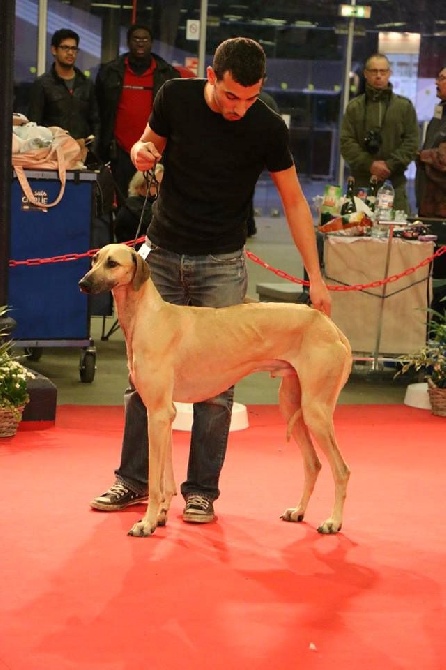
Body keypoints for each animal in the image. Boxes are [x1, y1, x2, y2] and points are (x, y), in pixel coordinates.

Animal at [80, 244, 352, 540]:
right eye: (95, 260)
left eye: (113, 263)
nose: (83, 284)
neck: (148, 316)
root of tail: (328, 324)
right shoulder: (164, 414)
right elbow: (166, 478)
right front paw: (161, 515)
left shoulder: (158, 412)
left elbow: (154, 481)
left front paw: (146, 523)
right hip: (293, 406)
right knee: (313, 464)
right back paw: (298, 511)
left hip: (316, 411)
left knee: (341, 470)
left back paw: (333, 522)